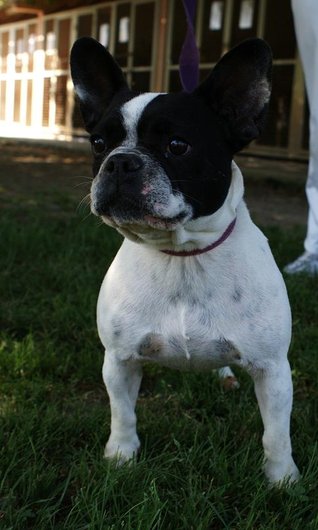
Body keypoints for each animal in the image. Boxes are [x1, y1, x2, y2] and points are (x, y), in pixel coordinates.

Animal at [71, 36, 300, 482]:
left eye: (178, 145)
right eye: (98, 144)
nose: (120, 161)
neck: (182, 255)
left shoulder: (273, 369)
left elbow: (276, 433)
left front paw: (282, 480)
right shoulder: (119, 360)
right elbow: (122, 413)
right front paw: (121, 456)